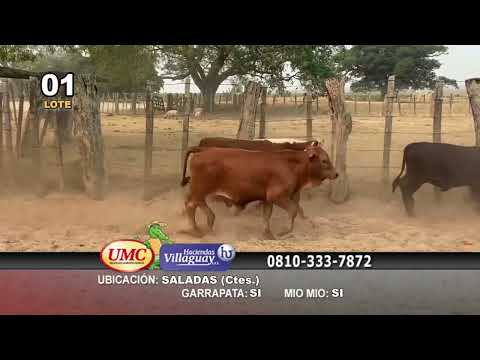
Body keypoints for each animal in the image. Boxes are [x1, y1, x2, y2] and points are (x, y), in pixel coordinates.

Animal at [180, 143, 338, 239]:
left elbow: (267, 216)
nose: (336, 174)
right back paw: (198, 229)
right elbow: (293, 210)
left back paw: (206, 223)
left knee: (194, 204)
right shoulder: (277, 196)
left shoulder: (268, 200)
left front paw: (268, 234)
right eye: (324, 160)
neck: (292, 165)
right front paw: (284, 230)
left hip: (198, 190)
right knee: (192, 204)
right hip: (200, 189)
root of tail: (203, 150)